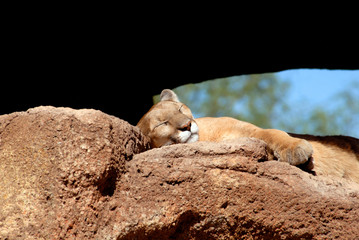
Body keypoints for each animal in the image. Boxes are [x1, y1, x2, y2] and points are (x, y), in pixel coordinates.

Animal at [138, 89, 359, 183]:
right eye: (162, 124)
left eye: (180, 108)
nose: (187, 125)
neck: (207, 138)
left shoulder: (246, 129)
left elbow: (273, 133)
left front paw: (296, 150)